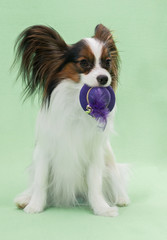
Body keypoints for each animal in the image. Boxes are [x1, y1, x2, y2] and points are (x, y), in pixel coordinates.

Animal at [14, 23, 129, 216]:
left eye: (107, 62)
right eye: (83, 63)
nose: (104, 78)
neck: (75, 98)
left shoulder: (94, 153)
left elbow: (95, 183)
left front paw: (101, 208)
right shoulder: (44, 152)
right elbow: (40, 181)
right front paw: (35, 206)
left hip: (109, 159)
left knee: (115, 176)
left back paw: (121, 197)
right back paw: (25, 198)